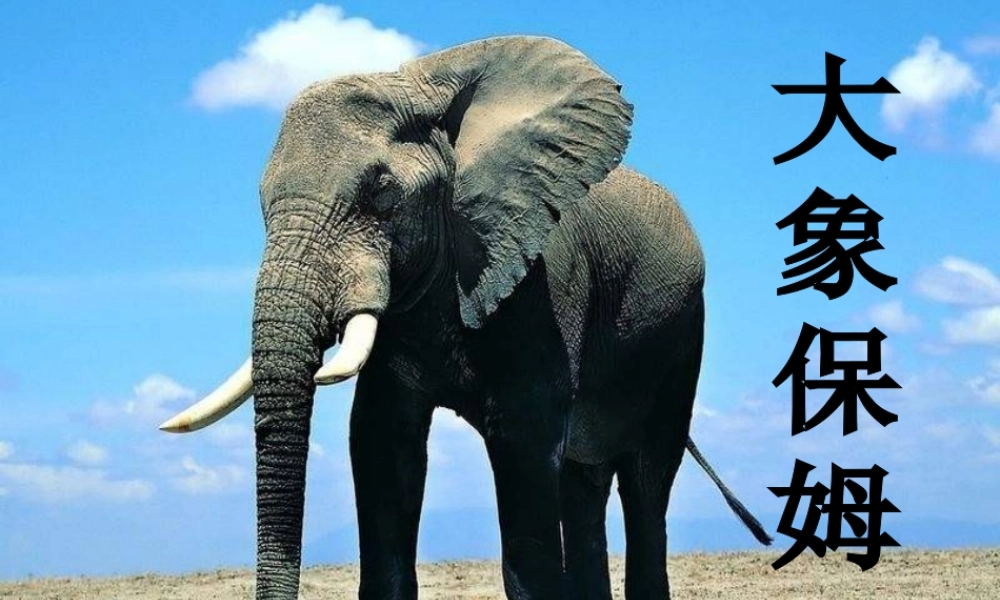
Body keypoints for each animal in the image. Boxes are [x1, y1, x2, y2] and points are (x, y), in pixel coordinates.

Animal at [161, 35, 771, 600]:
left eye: (382, 195)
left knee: (646, 482)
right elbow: (381, 443)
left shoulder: (543, 280)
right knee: (582, 483)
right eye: (261, 203)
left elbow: (525, 452)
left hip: (681, 335)